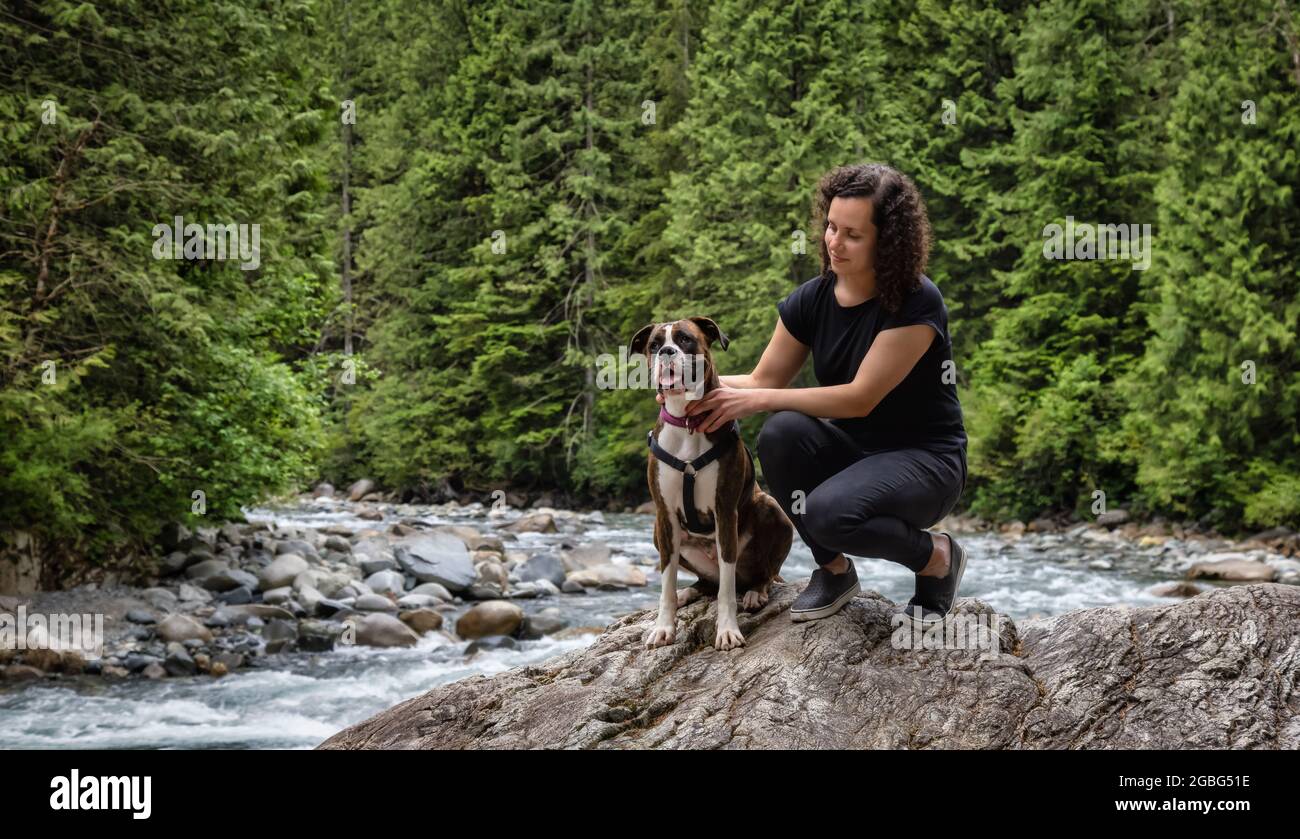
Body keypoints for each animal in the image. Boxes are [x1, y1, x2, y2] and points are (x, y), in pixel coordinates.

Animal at [629, 317, 790, 650]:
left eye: (685, 339)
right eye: (653, 344)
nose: (666, 351)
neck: (687, 422)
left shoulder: (725, 512)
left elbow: (726, 589)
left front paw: (728, 630)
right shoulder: (664, 516)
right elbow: (666, 583)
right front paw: (664, 626)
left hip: (773, 510)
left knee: (762, 574)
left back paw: (756, 592)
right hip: (658, 534)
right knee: (706, 582)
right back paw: (688, 592)